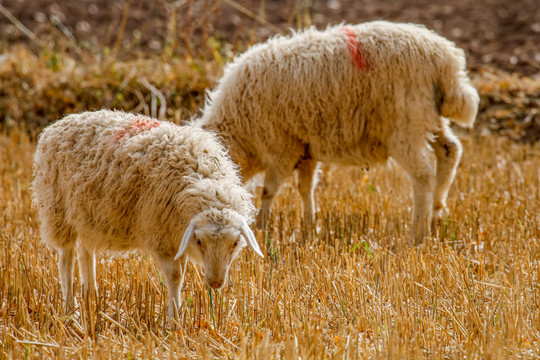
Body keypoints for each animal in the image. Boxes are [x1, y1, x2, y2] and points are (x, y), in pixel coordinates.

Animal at [31, 109, 264, 318]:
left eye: (235, 243)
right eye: (199, 242)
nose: (215, 283)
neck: (204, 179)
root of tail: (58, 124)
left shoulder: (177, 236)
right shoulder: (163, 238)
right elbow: (175, 277)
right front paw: (175, 321)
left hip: (87, 216)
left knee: (86, 253)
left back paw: (90, 297)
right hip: (57, 211)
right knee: (66, 258)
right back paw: (70, 309)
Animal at [196, 20, 478, 245]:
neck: (240, 134)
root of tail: (446, 61)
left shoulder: (282, 148)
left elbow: (269, 191)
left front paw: (261, 227)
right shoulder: (305, 148)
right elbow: (305, 188)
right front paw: (309, 227)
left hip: (406, 125)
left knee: (423, 176)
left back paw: (417, 234)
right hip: (429, 117)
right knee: (450, 151)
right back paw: (438, 209)